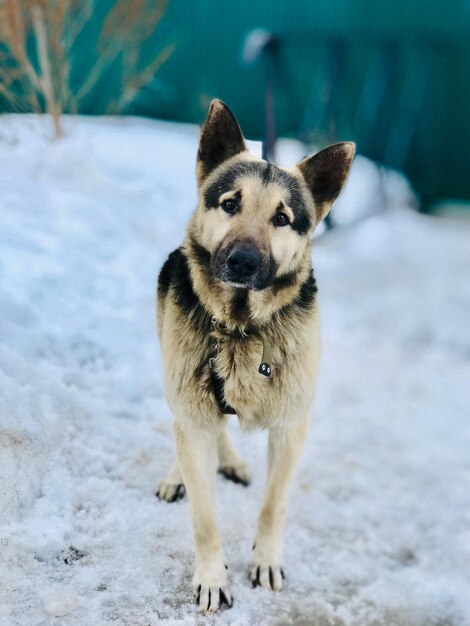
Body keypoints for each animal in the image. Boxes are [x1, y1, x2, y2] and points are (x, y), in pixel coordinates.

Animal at [156, 100, 354, 612]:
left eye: (282, 218)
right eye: (230, 204)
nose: (242, 263)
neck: (241, 328)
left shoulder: (290, 429)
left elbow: (273, 505)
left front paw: (265, 560)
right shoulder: (192, 408)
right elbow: (204, 518)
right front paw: (211, 578)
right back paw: (179, 474)